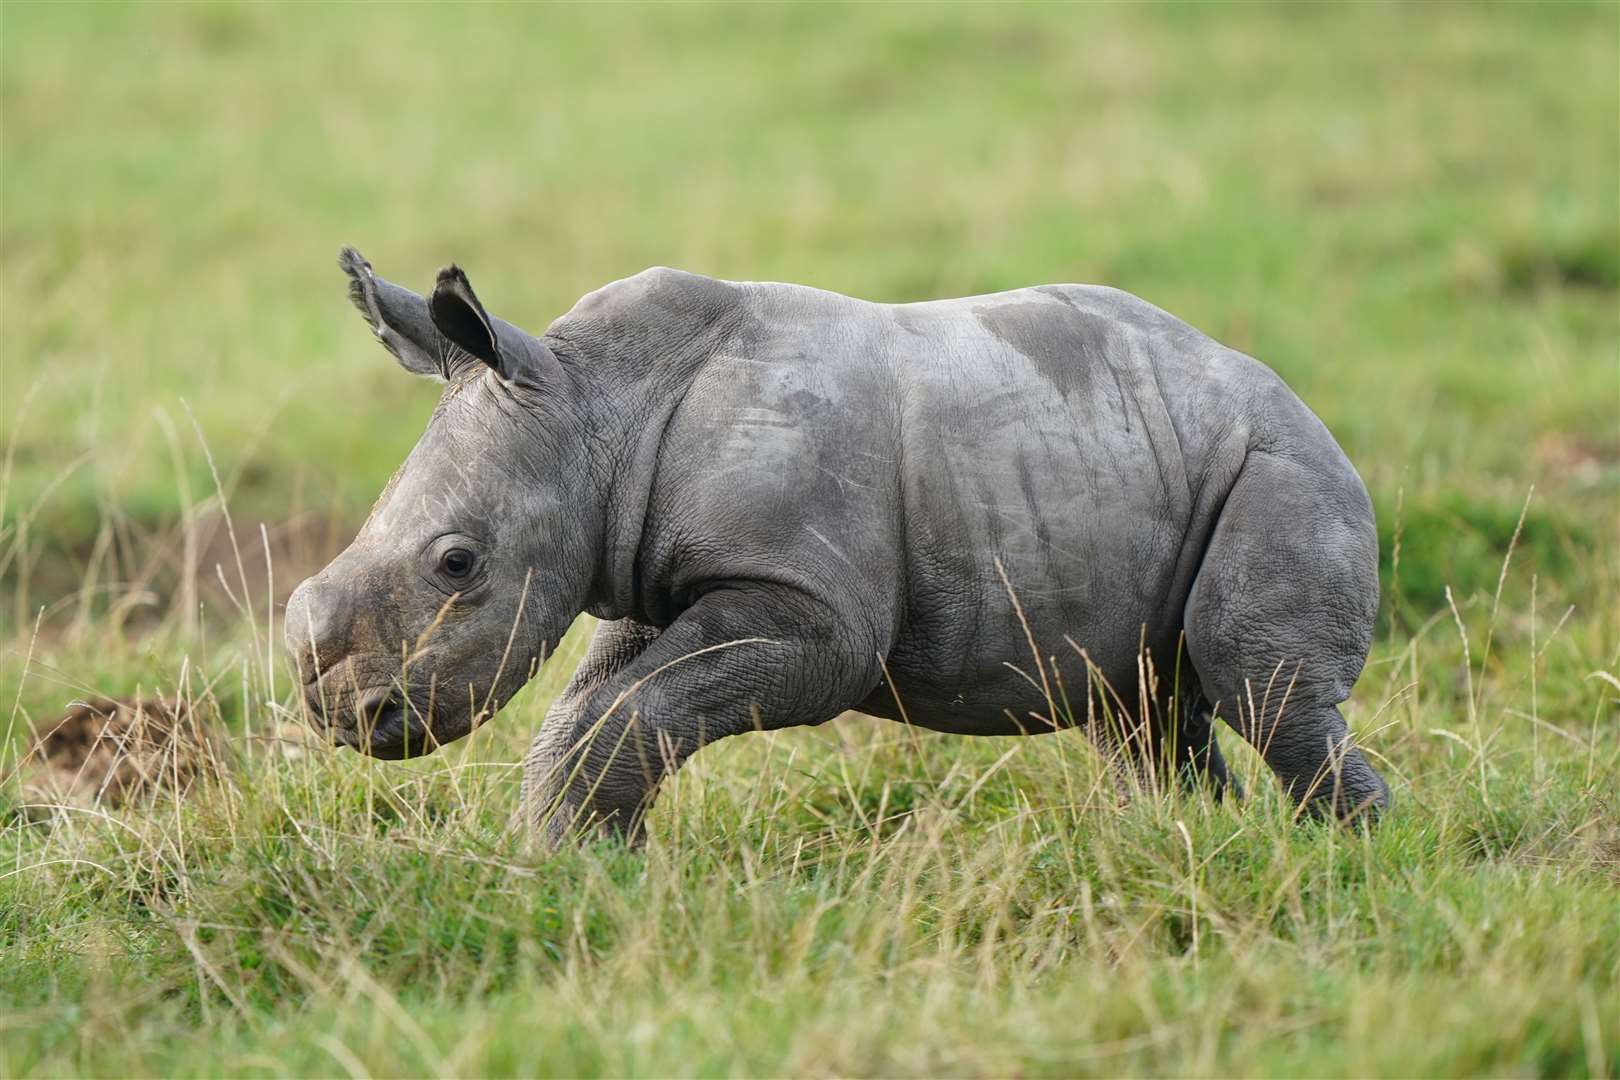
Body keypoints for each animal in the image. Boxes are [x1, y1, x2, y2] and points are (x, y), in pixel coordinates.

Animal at [281, 249, 1393, 841]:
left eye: (457, 564)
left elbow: (636, 707)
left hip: (1281, 469)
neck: (596, 407)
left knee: (1264, 689)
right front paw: (573, 858)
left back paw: (1349, 858)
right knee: (1144, 713)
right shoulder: (648, 575)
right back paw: (1188, 845)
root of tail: (1298, 405)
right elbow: (588, 712)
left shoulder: (813, 610)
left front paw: (585, 857)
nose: (346, 716)